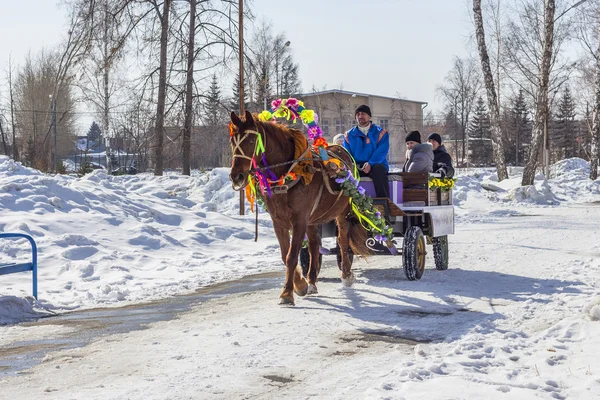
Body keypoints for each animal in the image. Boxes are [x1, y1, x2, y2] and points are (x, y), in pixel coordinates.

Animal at [229, 111, 372, 304]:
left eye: (252, 141)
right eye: (233, 140)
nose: (236, 176)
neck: (286, 174)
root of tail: (341, 150)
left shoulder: (299, 219)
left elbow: (291, 256)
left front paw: (287, 293)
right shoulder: (278, 220)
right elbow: (286, 255)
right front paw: (300, 284)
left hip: (341, 212)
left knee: (343, 241)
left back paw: (346, 274)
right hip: (313, 219)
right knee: (313, 246)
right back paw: (311, 282)